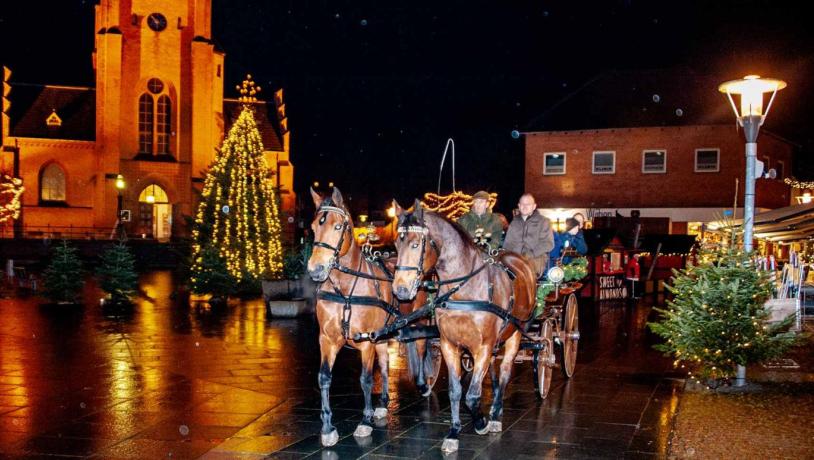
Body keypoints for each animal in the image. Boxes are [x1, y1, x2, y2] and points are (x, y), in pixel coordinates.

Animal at [308, 187, 434, 446]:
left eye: (338, 226)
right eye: (314, 226)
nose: (315, 269)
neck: (346, 291)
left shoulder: (366, 341)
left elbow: (365, 379)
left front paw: (365, 421)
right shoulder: (327, 340)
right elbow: (324, 377)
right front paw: (327, 427)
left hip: (419, 321)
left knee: (421, 348)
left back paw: (423, 385)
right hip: (383, 335)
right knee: (385, 365)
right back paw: (384, 403)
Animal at [392, 200, 540, 452]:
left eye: (415, 244)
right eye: (395, 244)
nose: (400, 290)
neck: (464, 289)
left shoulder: (484, 346)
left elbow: (471, 395)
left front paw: (481, 422)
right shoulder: (448, 344)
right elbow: (456, 391)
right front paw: (454, 432)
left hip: (515, 334)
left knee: (505, 371)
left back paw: (496, 414)